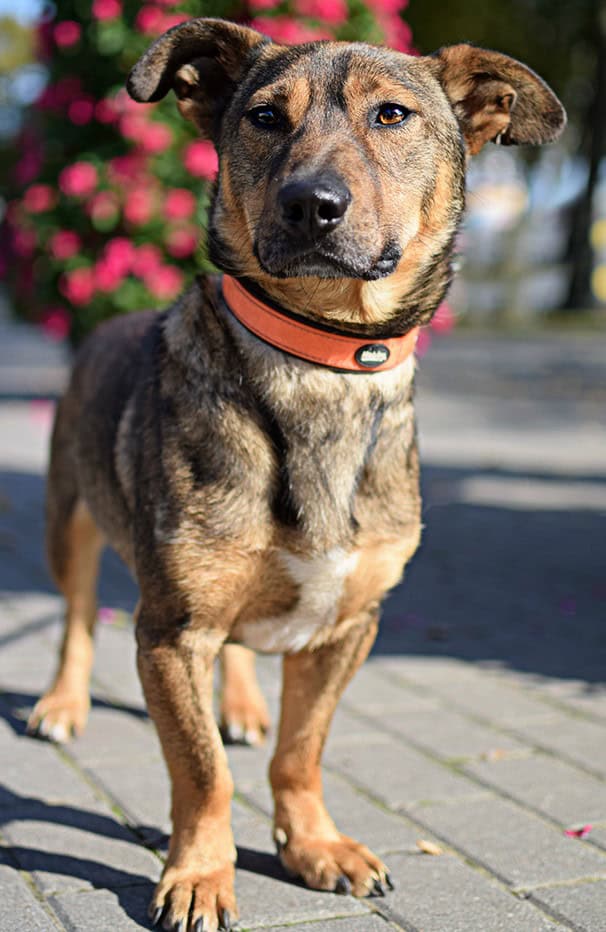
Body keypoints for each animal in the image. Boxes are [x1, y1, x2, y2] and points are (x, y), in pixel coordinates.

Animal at [27, 18, 565, 932]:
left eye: (392, 115)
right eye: (266, 118)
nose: (310, 203)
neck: (322, 360)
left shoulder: (350, 626)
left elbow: (300, 750)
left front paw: (313, 844)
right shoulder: (171, 632)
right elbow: (201, 771)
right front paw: (201, 874)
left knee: (241, 654)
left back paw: (242, 703)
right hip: (69, 521)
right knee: (71, 619)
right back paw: (64, 703)